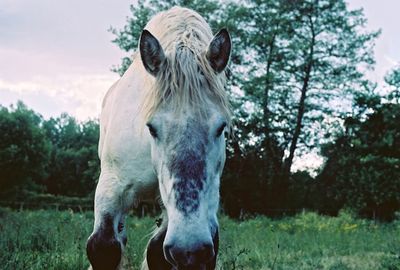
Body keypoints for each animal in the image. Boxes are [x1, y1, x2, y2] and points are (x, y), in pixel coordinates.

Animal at [87, 6, 231, 270]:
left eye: (220, 128)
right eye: (151, 128)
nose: (190, 249)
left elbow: (156, 253)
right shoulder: (112, 183)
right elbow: (103, 247)